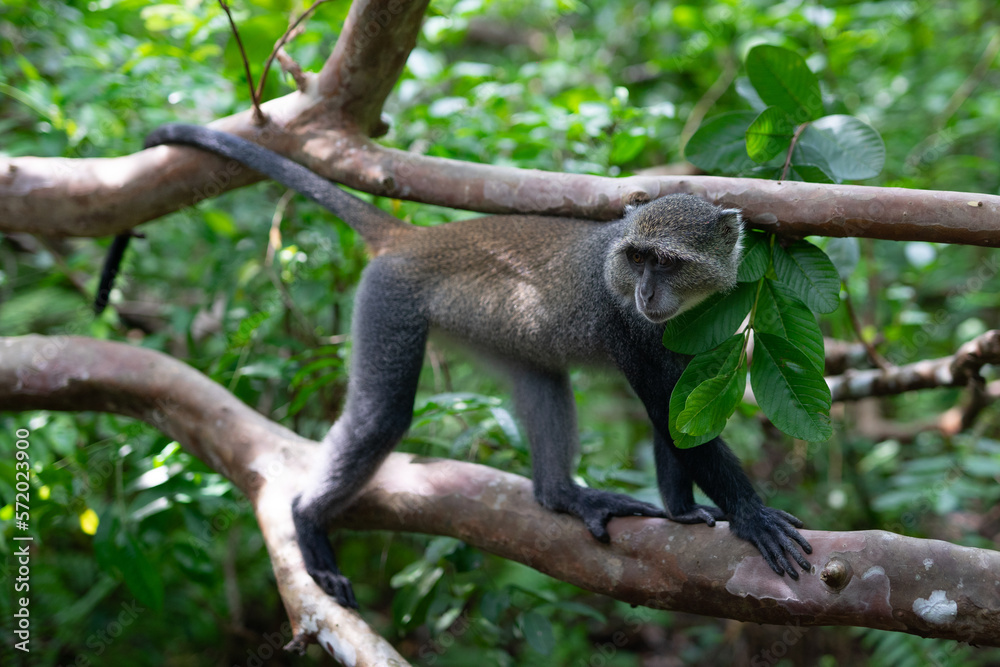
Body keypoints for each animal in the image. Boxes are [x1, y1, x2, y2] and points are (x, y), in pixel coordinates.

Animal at [105, 125, 816, 612]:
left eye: (665, 262)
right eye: (636, 258)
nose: (643, 291)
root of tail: (415, 237)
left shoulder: (689, 330)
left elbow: (676, 419)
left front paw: (684, 514)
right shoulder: (629, 330)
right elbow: (669, 418)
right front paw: (751, 516)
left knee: (543, 384)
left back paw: (563, 496)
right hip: (391, 301)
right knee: (379, 416)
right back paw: (307, 516)